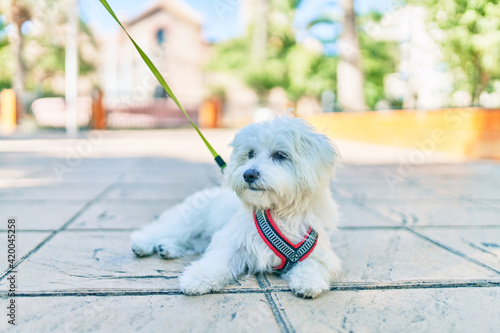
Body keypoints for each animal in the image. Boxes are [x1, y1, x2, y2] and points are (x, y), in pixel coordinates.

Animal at [131, 115, 342, 298]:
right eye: (250, 153)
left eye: (280, 155)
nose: (248, 174)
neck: (279, 211)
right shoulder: (233, 241)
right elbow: (217, 261)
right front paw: (197, 278)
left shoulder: (318, 249)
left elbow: (313, 265)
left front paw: (308, 283)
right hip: (188, 221)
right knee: (162, 230)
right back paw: (143, 244)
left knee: (190, 241)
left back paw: (166, 248)